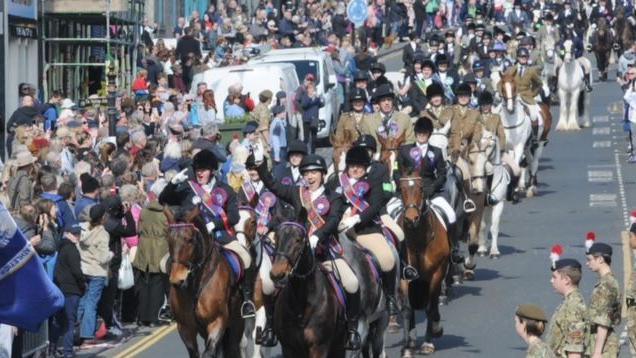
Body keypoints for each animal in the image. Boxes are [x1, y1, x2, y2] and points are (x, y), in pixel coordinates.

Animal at [165, 204, 245, 358]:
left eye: (190, 239)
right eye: (168, 239)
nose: (177, 279)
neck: (195, 286)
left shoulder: (217, 321)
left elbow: (209, 353)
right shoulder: (185, 328)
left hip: (236, 323)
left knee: (233, 347)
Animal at [270, 221, 348, 358]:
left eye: (298, 240)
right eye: (276, 237)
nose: (277, 274)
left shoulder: (319, 347)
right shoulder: (289, 348)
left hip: (339, 346)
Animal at [398, 171, 452, 356]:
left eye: (421, 188)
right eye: (401, 189)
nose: (411, 218)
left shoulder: (436, 274)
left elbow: (430, 307)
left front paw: (428, 342)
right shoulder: (404, 277)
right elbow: (407, 309)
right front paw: (407, 347)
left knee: (433, 304)